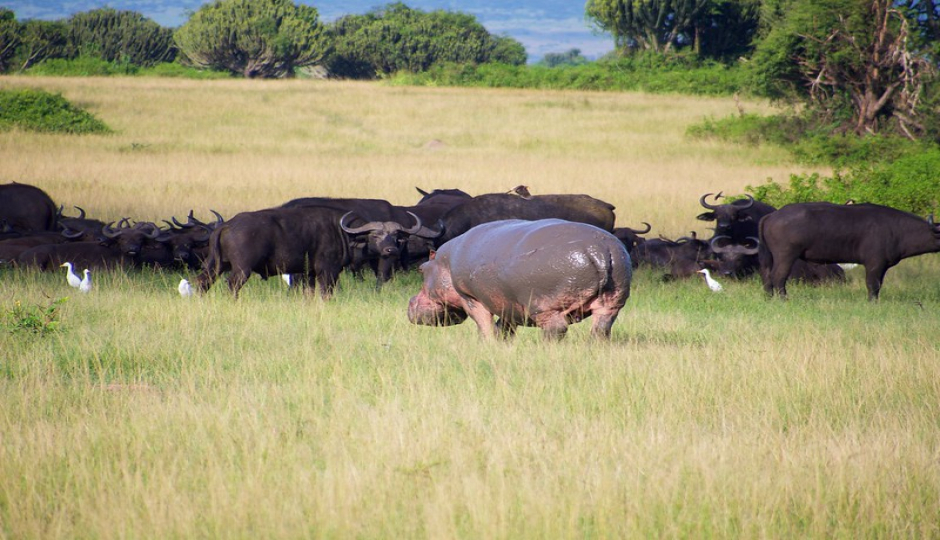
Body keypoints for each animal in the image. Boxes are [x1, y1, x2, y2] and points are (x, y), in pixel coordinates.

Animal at [760, 201, 936, 300]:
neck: (897, 230)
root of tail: (772, 215)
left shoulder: (883, 266)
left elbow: (878, 285)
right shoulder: (874, 264)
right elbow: (873, 285)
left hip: (769, 258)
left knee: (767, 277)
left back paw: (769, 298)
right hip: (786, 256)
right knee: (778, 277)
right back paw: (784, 299)